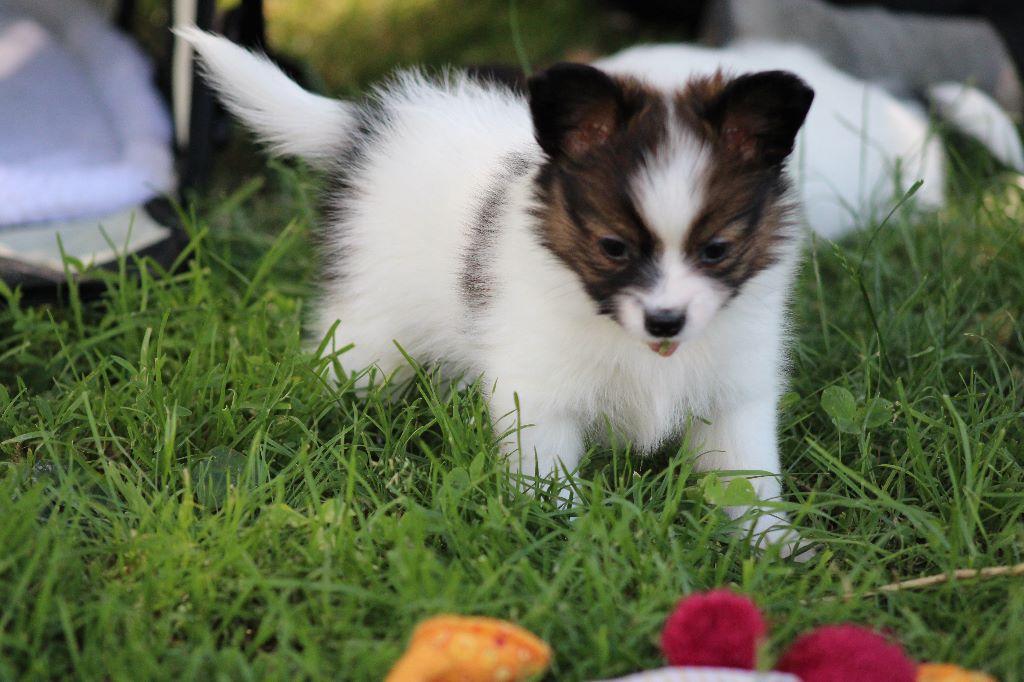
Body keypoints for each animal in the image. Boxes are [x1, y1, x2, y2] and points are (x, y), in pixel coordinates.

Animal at [178, 29, 815, 548]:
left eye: (717, 250)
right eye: (613, 247)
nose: (666, 322)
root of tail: (373, 127)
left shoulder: (736, 396)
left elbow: (748, 481)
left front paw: (777, 548)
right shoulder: (541, 396)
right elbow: (549, 480)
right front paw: (560, 541)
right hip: (372, 330)